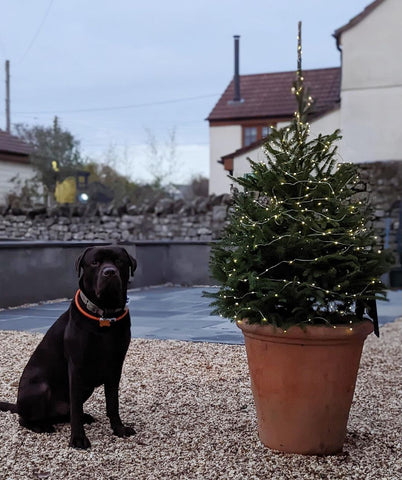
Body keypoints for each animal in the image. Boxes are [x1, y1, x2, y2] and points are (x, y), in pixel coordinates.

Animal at [0, 246, 137, 448]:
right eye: (95, 262)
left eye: (119, 261)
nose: (109, 272)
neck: (104, 317)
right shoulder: (77, 367)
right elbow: (76, 408)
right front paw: (78, 439)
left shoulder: (115, 366)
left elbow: (113, 403)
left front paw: (119, 429)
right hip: (41, 388)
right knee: (25, 419)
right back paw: (41, 426)